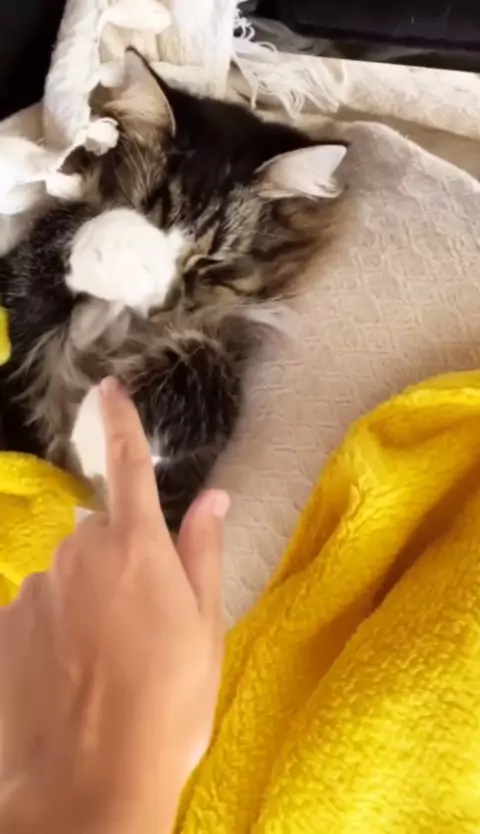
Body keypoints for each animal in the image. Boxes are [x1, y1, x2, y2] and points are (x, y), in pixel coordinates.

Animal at [0, 49, 347, 530]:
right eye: (145, 217)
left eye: (208, 262)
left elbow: (206, 364)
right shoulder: (18, 301)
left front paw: (102, 424)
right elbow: (64, 229)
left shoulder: (227, 347)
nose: (158, 304)